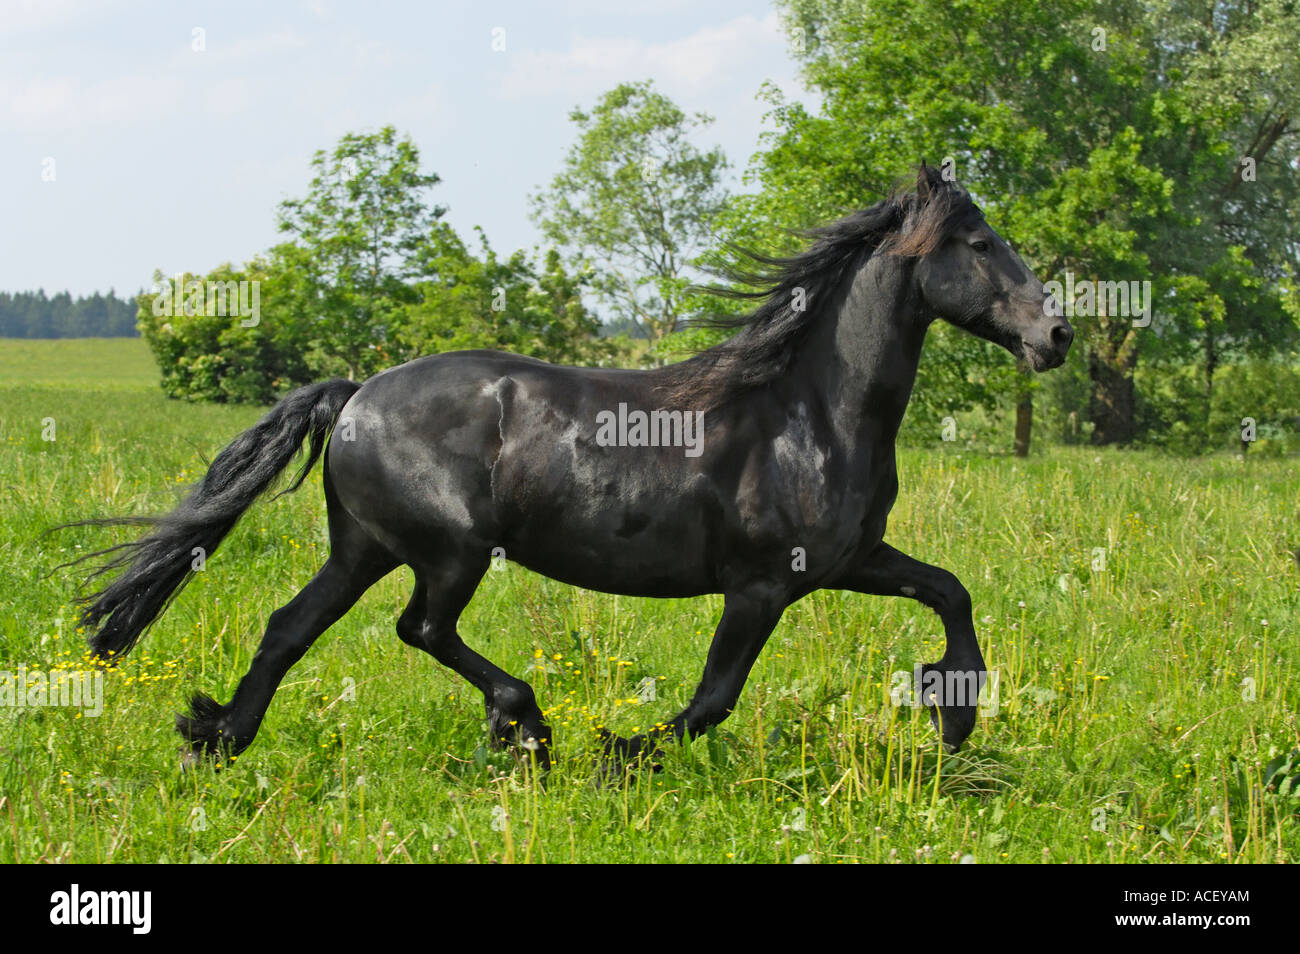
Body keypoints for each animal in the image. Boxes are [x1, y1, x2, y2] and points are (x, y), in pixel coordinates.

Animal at [68, 163, 1072, 771]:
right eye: (979, 245)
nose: (1057, 335)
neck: (809, 412)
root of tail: (355, 395)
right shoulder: (761, 585)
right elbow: (713, 698)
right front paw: (622, 751)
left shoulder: (850, 560)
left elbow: (950, 591)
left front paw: (953, 711)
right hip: (448, 552)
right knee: (420, 630)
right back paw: (528, 723)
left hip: (364, 547)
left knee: (289, 628)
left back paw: (216, 737)